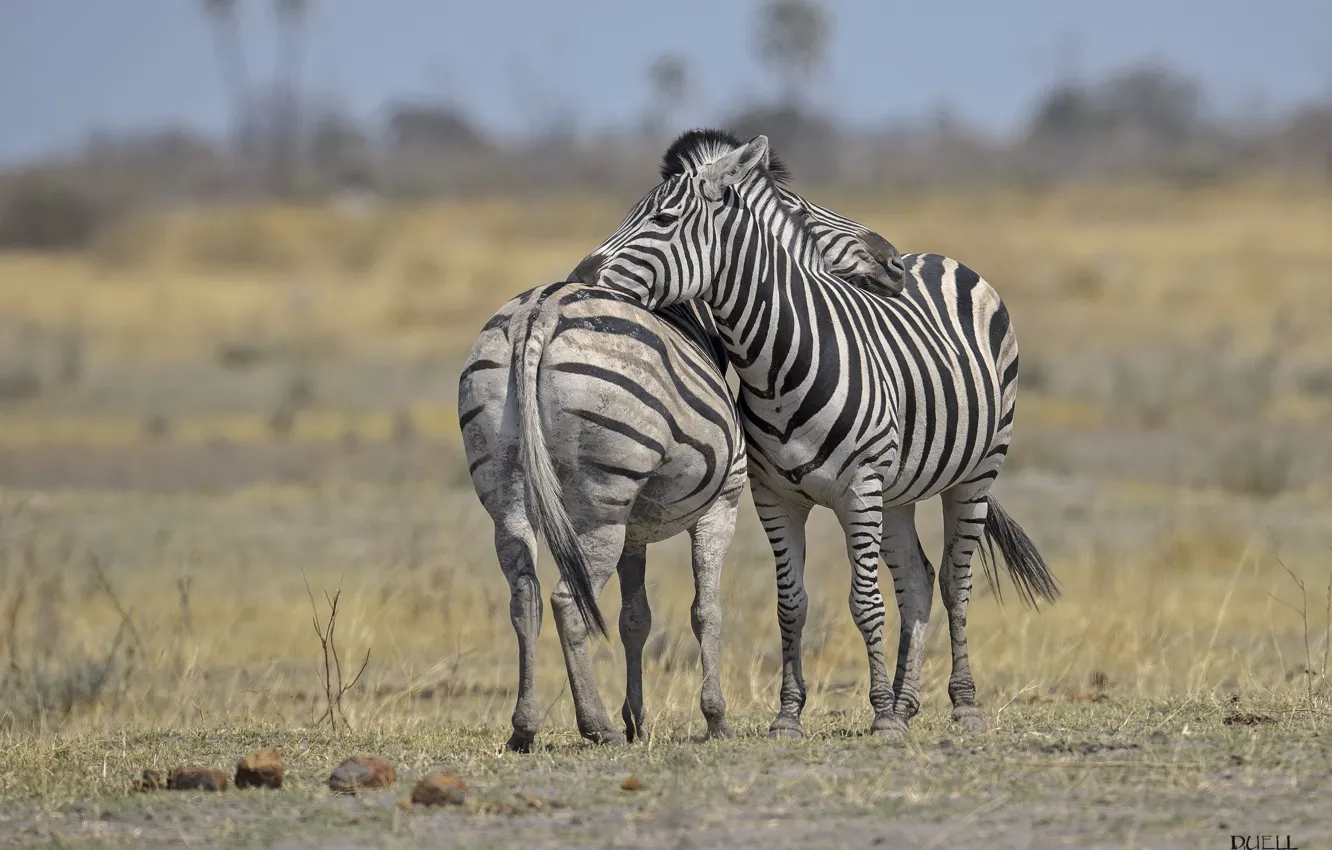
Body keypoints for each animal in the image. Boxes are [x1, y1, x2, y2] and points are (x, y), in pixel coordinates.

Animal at [458, 210, 905, 750]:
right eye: (807, 217)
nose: (896, 265)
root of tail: (538, 313)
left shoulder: (635, 530)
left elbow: (635, 618)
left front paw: (637, 720)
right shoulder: (721, 506)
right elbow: (706, 611)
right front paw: (714, 718)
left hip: (505, 485)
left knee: (525, 596)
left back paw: (524, 728)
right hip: (601, 505)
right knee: (568, 601)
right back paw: (596, 726)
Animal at [568, 128, 1058, 739]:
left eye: (662, 219)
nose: (579, 279)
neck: (775, 365)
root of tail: (938, 258)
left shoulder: (859, 491)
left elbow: (866, 603)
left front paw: (880, 716)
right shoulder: (776, 499)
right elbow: (791, 605)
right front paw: (790, 715)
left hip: (975, 474)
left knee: (954, 582)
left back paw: (961, 706)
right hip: (897, 490)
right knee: (918, 580)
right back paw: (907, 701)